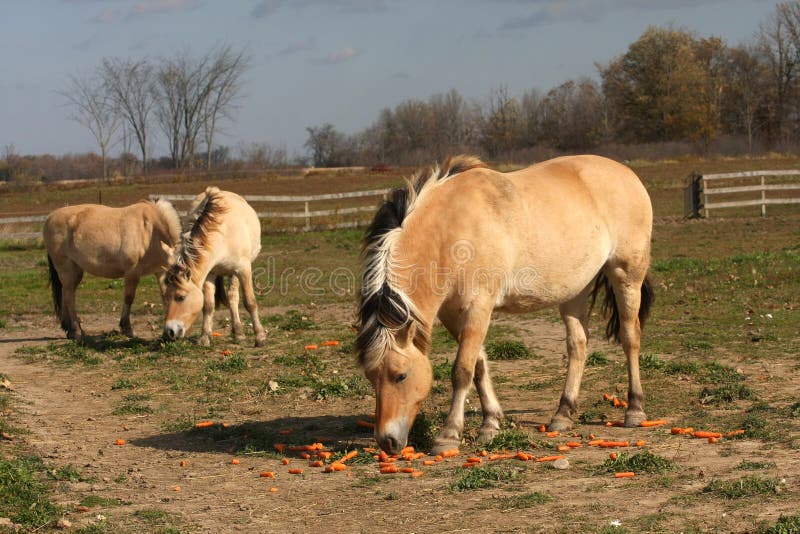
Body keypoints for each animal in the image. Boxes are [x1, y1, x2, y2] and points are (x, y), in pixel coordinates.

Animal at [44, 199, 182, 342]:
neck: (150, 231)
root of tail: (50, 218)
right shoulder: (132, 272)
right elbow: (129, 298)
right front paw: (127, 329)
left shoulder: (161, 272)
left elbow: (165, 297)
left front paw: (166, 333)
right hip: (66, 269)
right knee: (69, 297)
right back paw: (77, 332)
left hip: (76, 270)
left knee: (66, 294)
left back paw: (70, 330)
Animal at [161, 187, 268, 348]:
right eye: (166, 297)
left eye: (181, 297)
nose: (170, 332)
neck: (223, 233)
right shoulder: (209, 274)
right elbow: (208, 305)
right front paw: (205, 337)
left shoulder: (243, 270)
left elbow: (250, 302)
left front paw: (260, 337)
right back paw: (237, 332)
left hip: (235, 273)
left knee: (233, 297)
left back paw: (239, 333)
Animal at [358, 156, 656, 456]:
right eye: (371, 377)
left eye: (400, 376)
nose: (387, 441)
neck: (451, 228)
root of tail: (626, 173)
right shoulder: (453, 314)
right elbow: (479, 366)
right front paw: (490, 423)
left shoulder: (479, 307)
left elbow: (462, 370)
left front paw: (449, 434)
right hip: (575, 289)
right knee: (578, 345)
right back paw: (563, 414)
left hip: (626, 275)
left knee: (630, 337)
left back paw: (634, 409)